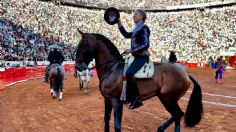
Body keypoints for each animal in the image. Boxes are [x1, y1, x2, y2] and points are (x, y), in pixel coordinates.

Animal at [74, 30, 203, 131]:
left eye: (82, 46)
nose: (78, 67)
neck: (111, 69)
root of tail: (185, 73)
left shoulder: (116, 102)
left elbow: (117, 126)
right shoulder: (107, 100)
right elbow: (106, 121)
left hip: (168, 99)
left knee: (178, 114)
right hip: (167, 99)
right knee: (177, 116)